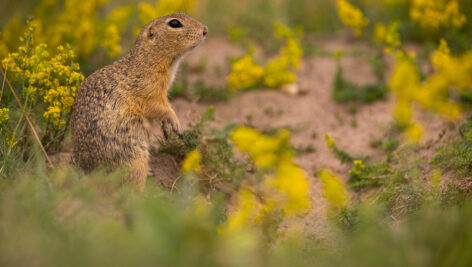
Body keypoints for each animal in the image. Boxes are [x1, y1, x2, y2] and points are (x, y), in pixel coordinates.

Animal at [71, 13, 207, 189]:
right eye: (175, 23)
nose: (205, 30)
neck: (148, 59)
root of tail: (90, 171)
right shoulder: (149, 92)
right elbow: (161, 108)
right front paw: (176, 124)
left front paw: (167, 127)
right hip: (134, 157)